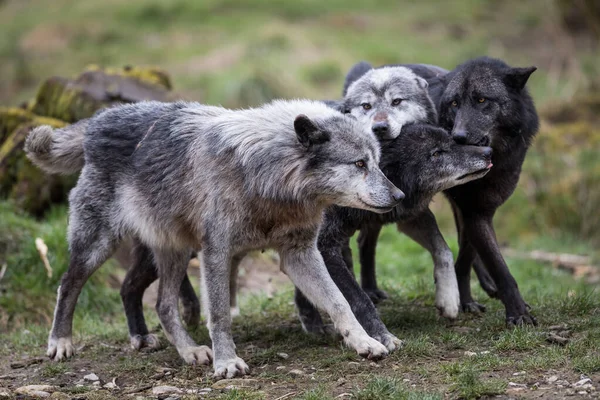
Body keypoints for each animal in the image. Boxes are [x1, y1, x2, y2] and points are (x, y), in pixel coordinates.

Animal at [25, 99, 406, 378]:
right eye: (359, 164)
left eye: (377, 162)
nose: (399, 196)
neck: (263, 175)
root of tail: (97, 120)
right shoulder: (217, 253)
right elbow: (220, 313)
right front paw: (227, 363)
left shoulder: (300, 254)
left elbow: (339, 302)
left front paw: (365, 342)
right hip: (99, 246)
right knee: (68, 284)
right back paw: (60, 342)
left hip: (174, 252)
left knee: (158, 302)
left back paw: (184, 350)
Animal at [292, 122, 494, 338]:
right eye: (436, 153)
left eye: (451, 140)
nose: (488, 152)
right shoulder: (324, 246)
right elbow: (358, 298)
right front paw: (381, 335)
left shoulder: (410, 218)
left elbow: (444, 250)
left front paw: (448, 299)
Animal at [342, 55, 540, 324]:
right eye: (454, 103)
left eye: (481, 100)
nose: (458, 136)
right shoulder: (473, 211)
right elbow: (499, 268)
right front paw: (517, 313)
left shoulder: (478, 209)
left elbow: (468, 255)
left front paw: (465, 298)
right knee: (365, 240)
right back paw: (371, 290)